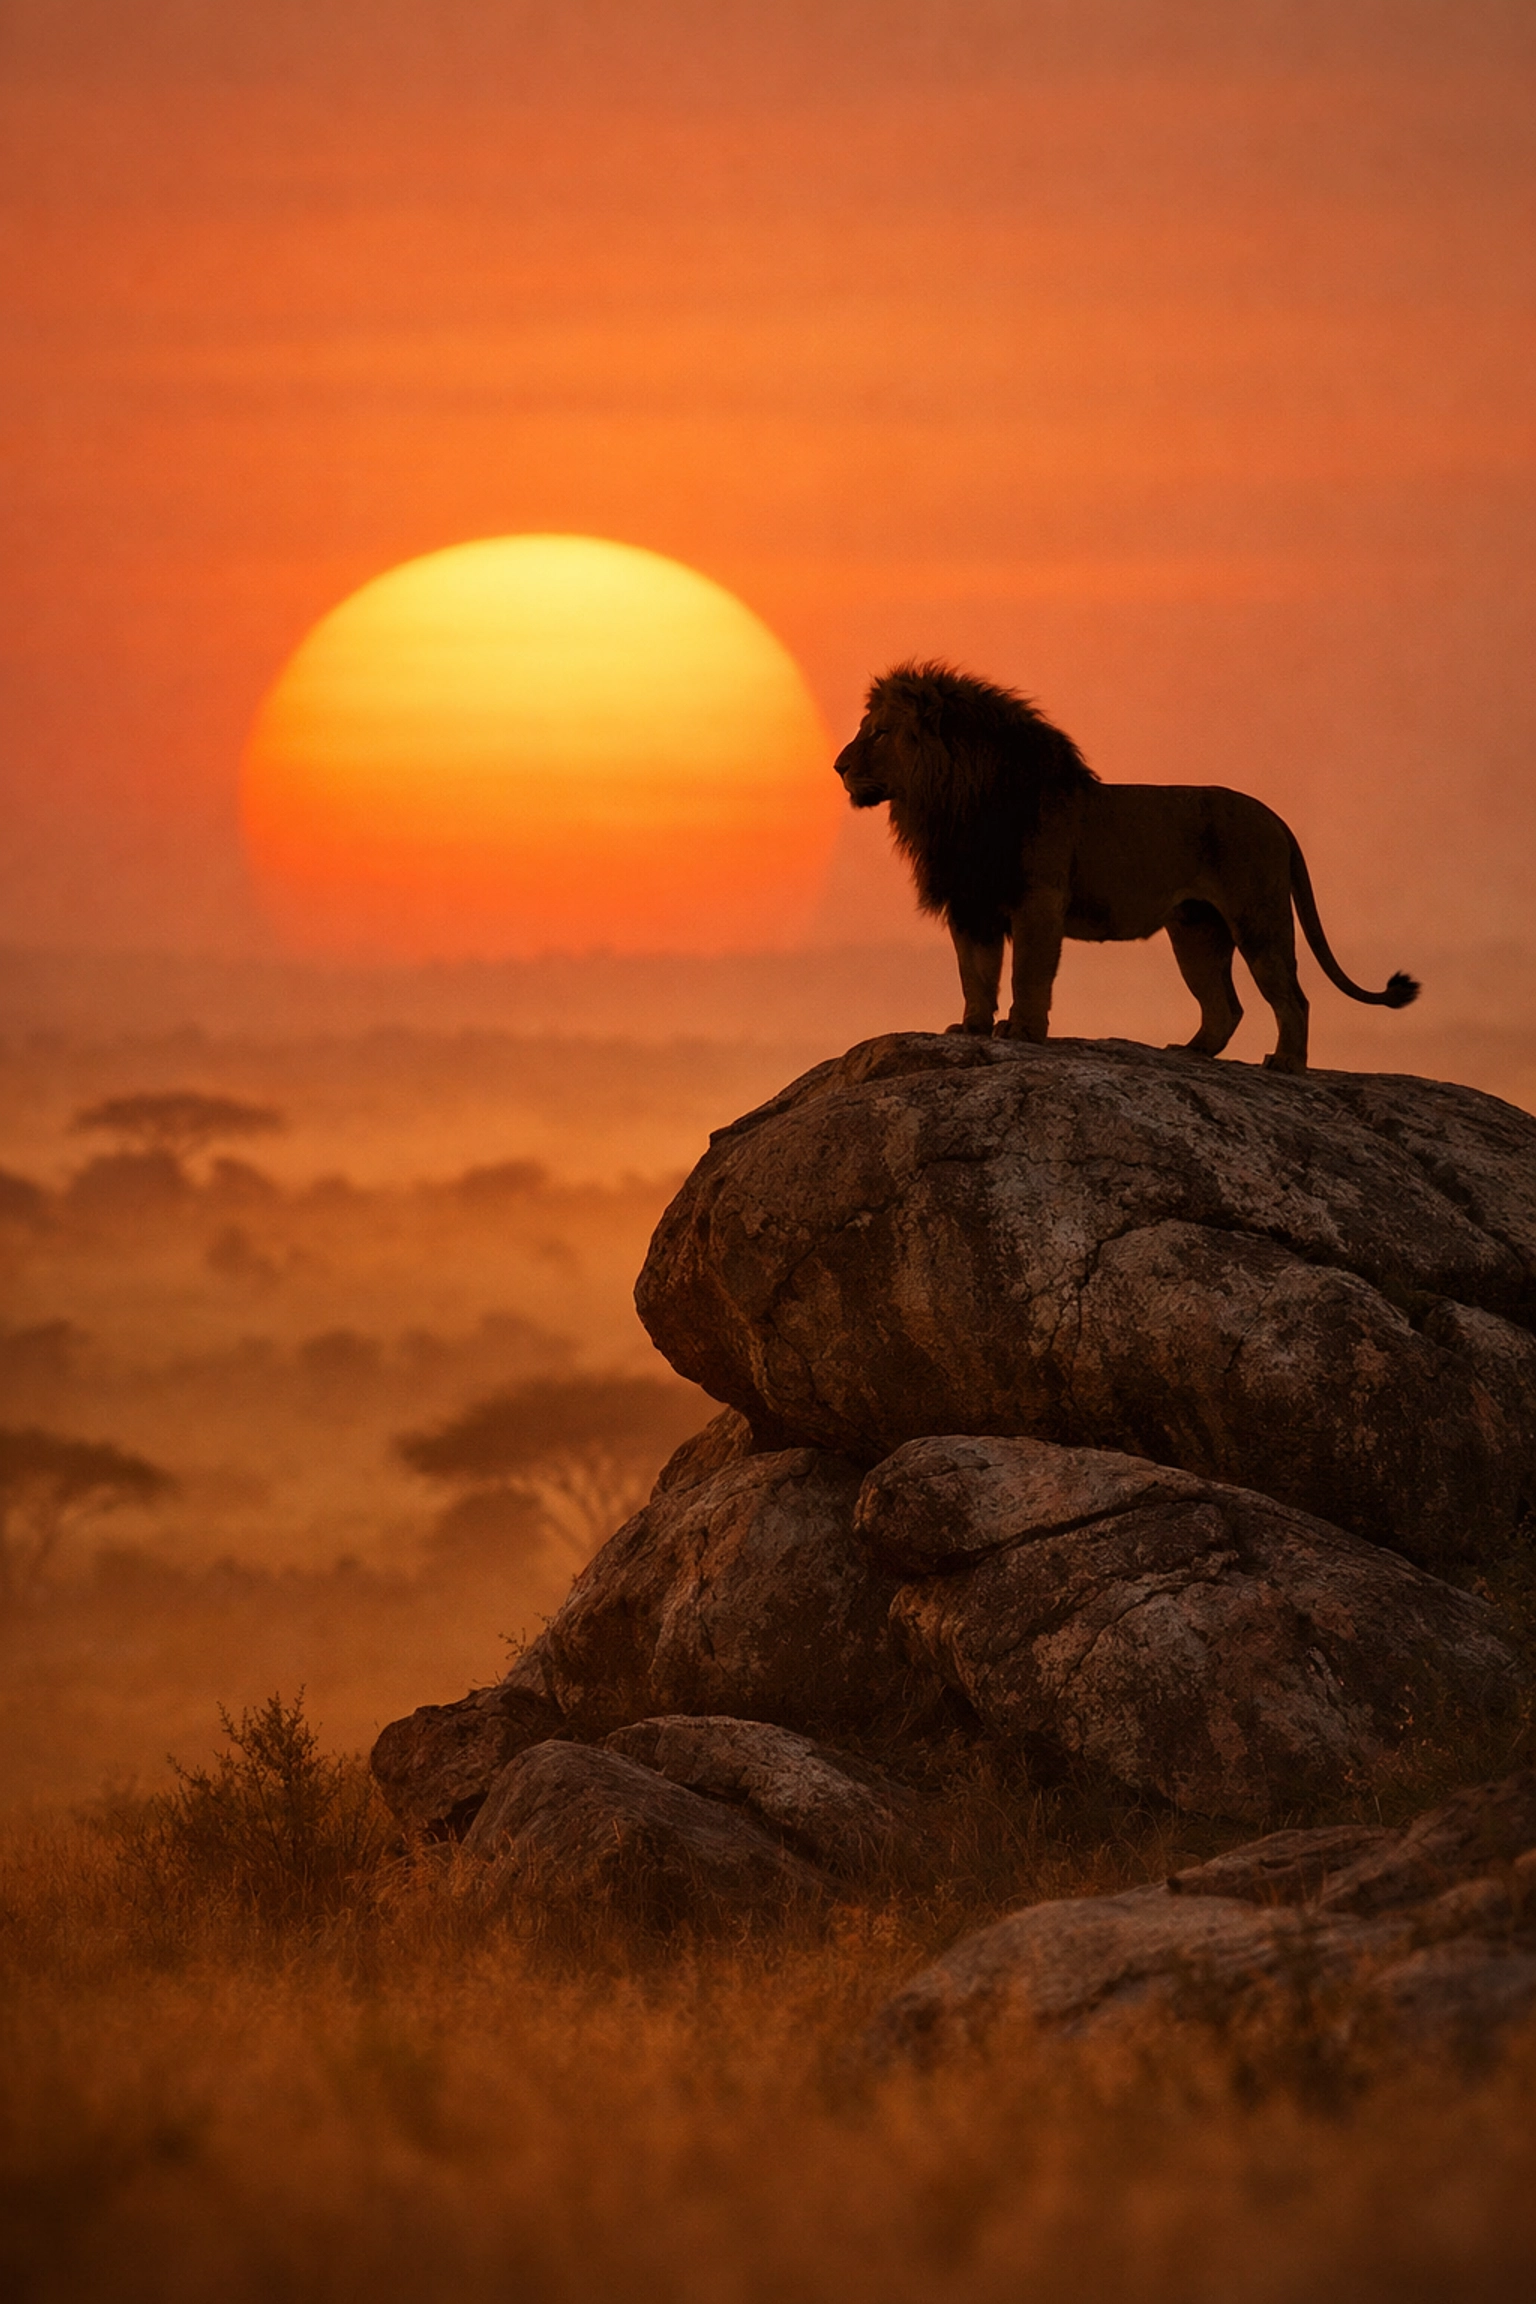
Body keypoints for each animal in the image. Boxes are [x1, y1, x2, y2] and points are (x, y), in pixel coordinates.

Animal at [833, 661, 1419, 1074]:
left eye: (879, 733)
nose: (837, 766)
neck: (949, 802)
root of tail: (1275, 817)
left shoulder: (1038, 900)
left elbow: (1027, 973)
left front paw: (1021, 1032)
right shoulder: (970, 904)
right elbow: (974, 974)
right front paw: (971, 1029)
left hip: (1259, 921)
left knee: (1293, 998)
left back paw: (1287, 1064)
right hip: (1196, 932)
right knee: (1225, 1005)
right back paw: (1191, 1051)